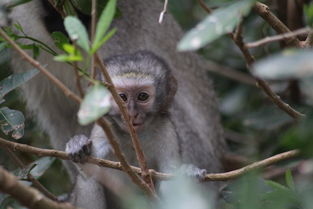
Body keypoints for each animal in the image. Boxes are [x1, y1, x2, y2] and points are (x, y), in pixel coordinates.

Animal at [65, 49, 206, 190]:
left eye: (142, 96)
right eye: (122, 97)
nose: (132, 114)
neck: (133, 136)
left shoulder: (166, 130)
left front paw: (189, 174)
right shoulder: (105, 127)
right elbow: (91, 172)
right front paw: (78, 145)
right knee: (87, 182)